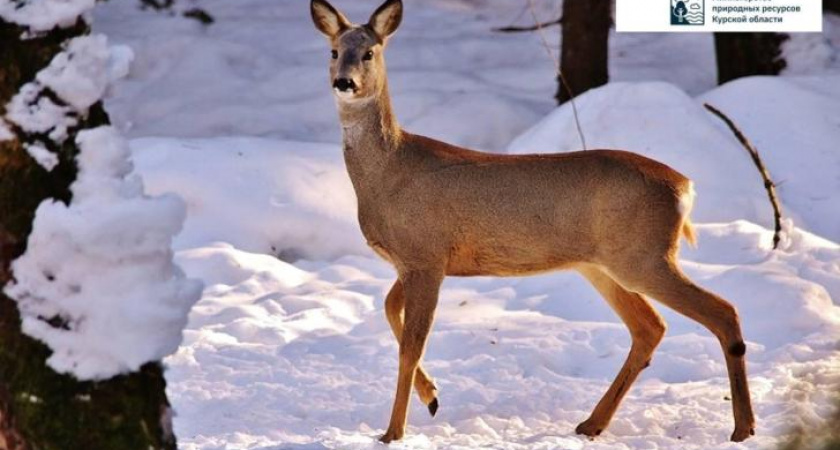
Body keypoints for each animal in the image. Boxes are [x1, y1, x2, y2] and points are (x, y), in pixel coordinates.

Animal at [312, 0, 756, 442]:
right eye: (333, 51)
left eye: (369, 53)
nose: (344, 82)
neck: (388, 172)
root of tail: (684, 186)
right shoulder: (415, 261)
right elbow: (389, 310)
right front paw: (432, 396)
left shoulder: (426, 256)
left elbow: (411, 345)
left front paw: (393, 432)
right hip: (602, 265)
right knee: (650, 327)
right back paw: (592, 423)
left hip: (644, 256)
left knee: (723, 311)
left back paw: (743, 427)